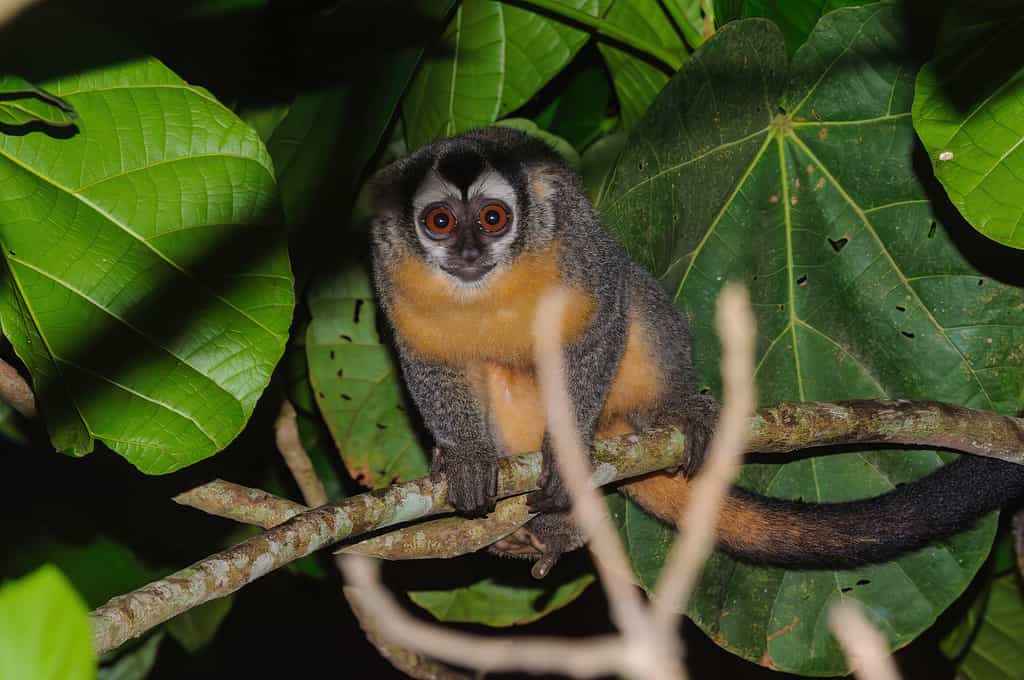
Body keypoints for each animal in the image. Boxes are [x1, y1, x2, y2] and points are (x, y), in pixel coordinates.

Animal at [369, 126, 1024, 577]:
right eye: (441, 221)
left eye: (492, 218)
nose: (469, 251)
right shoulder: (391, 267)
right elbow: (426, 358)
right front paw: (466, 457)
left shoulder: (575, 240)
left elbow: (601, 315)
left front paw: (568, 450)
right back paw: (540, 523)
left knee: (633, 292)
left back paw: (665, 419)